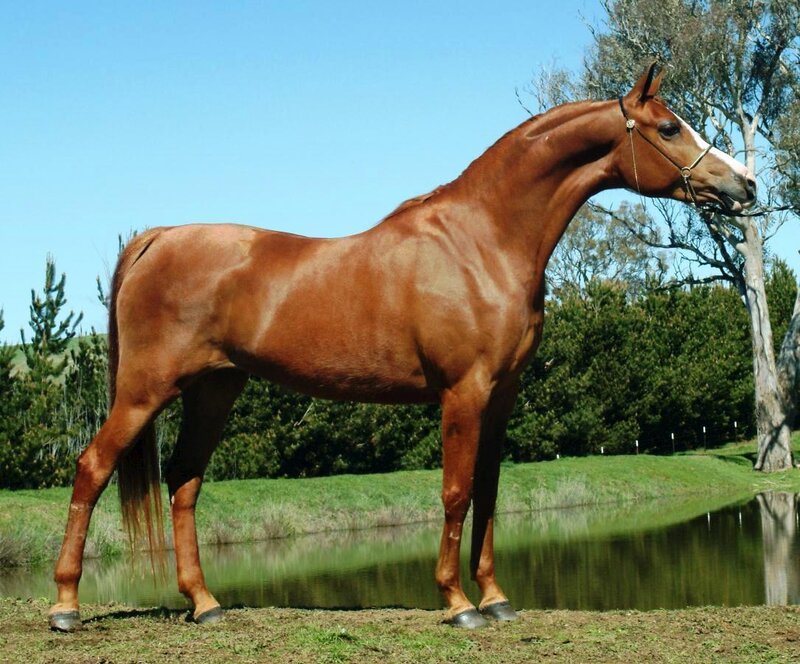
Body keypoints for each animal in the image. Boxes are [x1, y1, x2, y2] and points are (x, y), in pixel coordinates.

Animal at [49, 63, 755, 631]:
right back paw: (65, 608)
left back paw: (205, 605)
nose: (744, 186)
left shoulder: (501, 396)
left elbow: (489, 491)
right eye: (669, 128)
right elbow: (454, 493)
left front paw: (496, 598)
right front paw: (459, 604)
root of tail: (159, 237)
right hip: (145, 391)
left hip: (214, 391)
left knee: (184, 483)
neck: (482, 240)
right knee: (91, 469)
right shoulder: (462, 392)